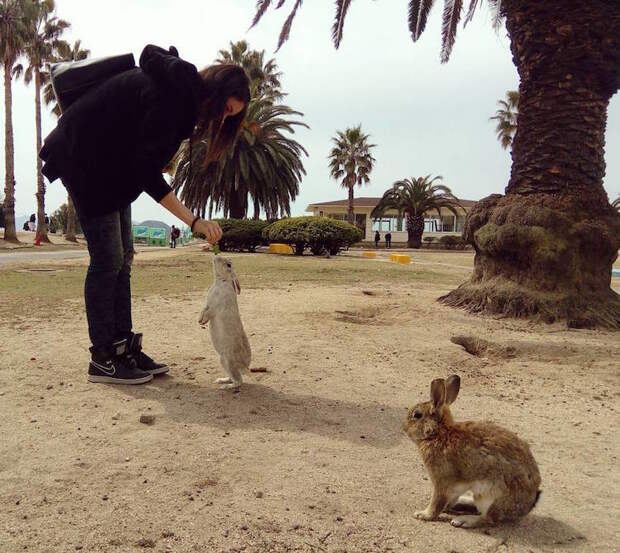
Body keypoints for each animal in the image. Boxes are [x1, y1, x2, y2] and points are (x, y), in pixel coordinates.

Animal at [200, 256, 251, 390]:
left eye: (229, 265)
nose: (216, 257)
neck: (221, 281)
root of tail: (244, 367)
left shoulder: (215, 307)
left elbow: (209, 312)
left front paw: (202, 320)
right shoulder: (207, 304)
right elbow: (203, 309)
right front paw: (200, 320)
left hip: (227, 361)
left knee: (238, 381)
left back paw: (226, 386)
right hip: (224, 362)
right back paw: (221, 380)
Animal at [404, 376, 540, 528]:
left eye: (417, 415)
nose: (404, 428)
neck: (439, 433)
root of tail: (527, 507)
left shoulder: (442, 481)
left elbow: (437, 503)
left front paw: (423, 514)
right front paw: (447, 507)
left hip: (489, 495)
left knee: (488, 518)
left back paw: (463, 520)